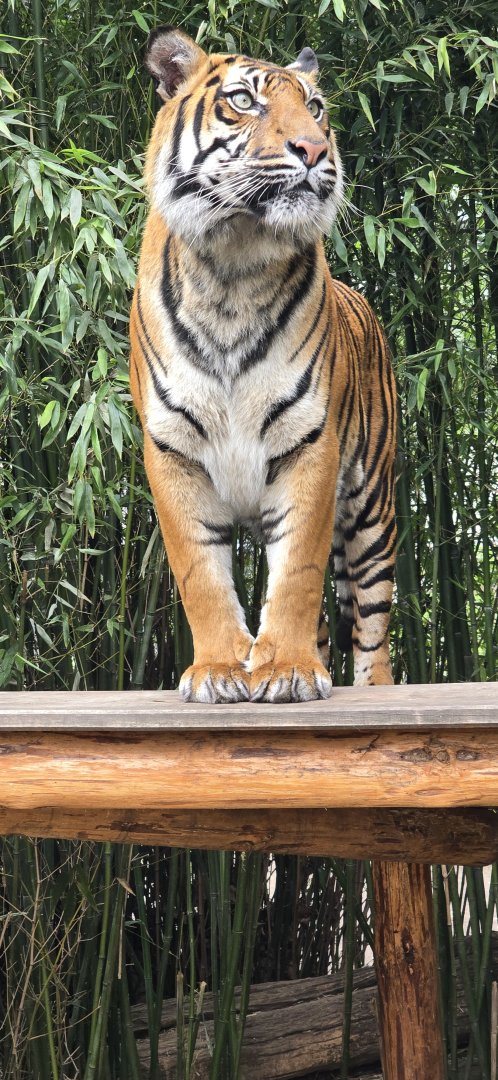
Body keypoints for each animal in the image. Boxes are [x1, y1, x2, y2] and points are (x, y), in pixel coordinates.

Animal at [129, 26, 397, 703]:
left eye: (316, 107)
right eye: (245, 101)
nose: (315, 148)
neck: (234, 266)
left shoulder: (311, 445)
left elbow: (298, 572)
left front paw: (288, 670)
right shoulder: (172, 451)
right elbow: (200, 573)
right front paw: (223, 669)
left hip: (372, 505)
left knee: (372, 620)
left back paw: (377, 691)